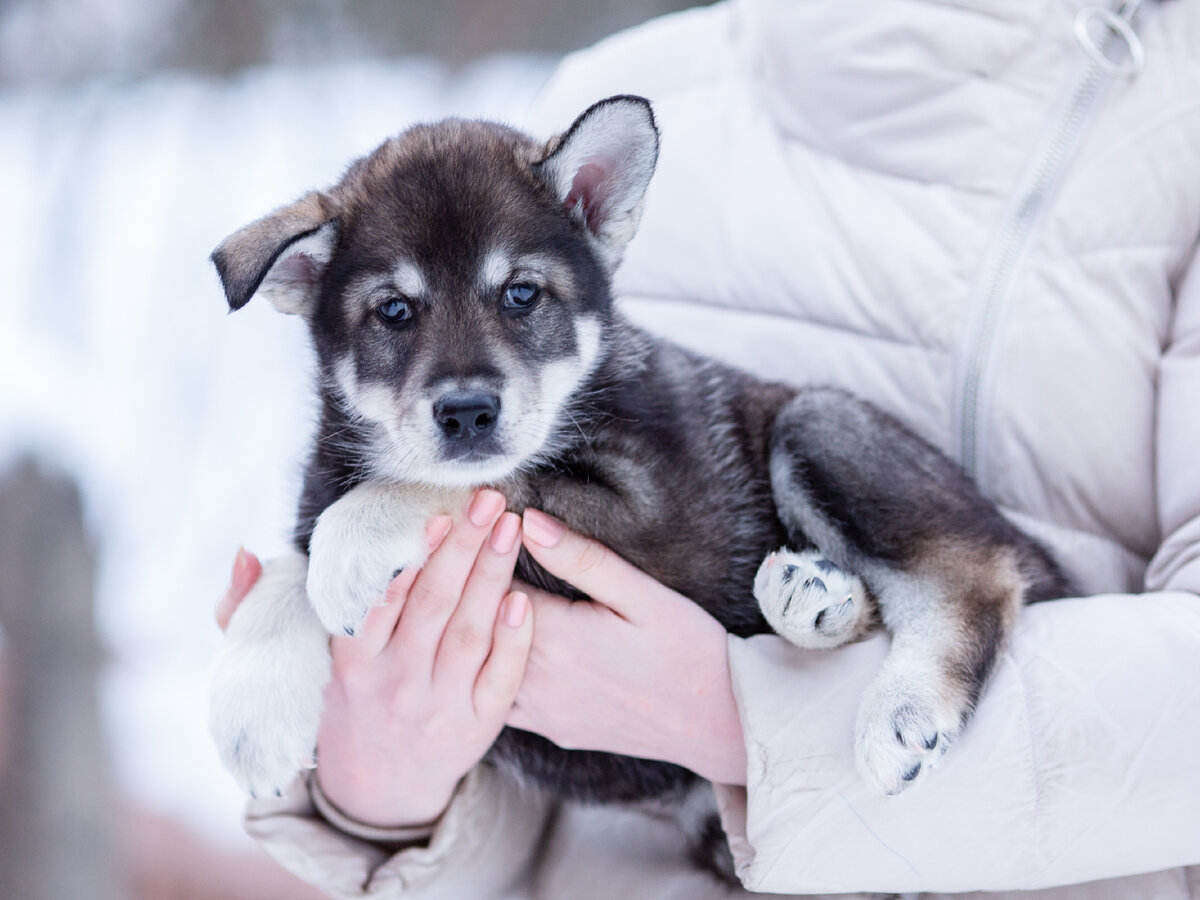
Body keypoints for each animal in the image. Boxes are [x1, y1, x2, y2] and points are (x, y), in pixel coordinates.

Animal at [206, 98, 1070, 816]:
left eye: (521, 294)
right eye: (393, 310)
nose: (467, 412)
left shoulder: (651, 511)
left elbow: (468, 483)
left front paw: (352, 544)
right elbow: (292, 558)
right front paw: (254, 711)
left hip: (818, 422)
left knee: (976, 575)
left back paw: (901, 708)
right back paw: (816, 598)